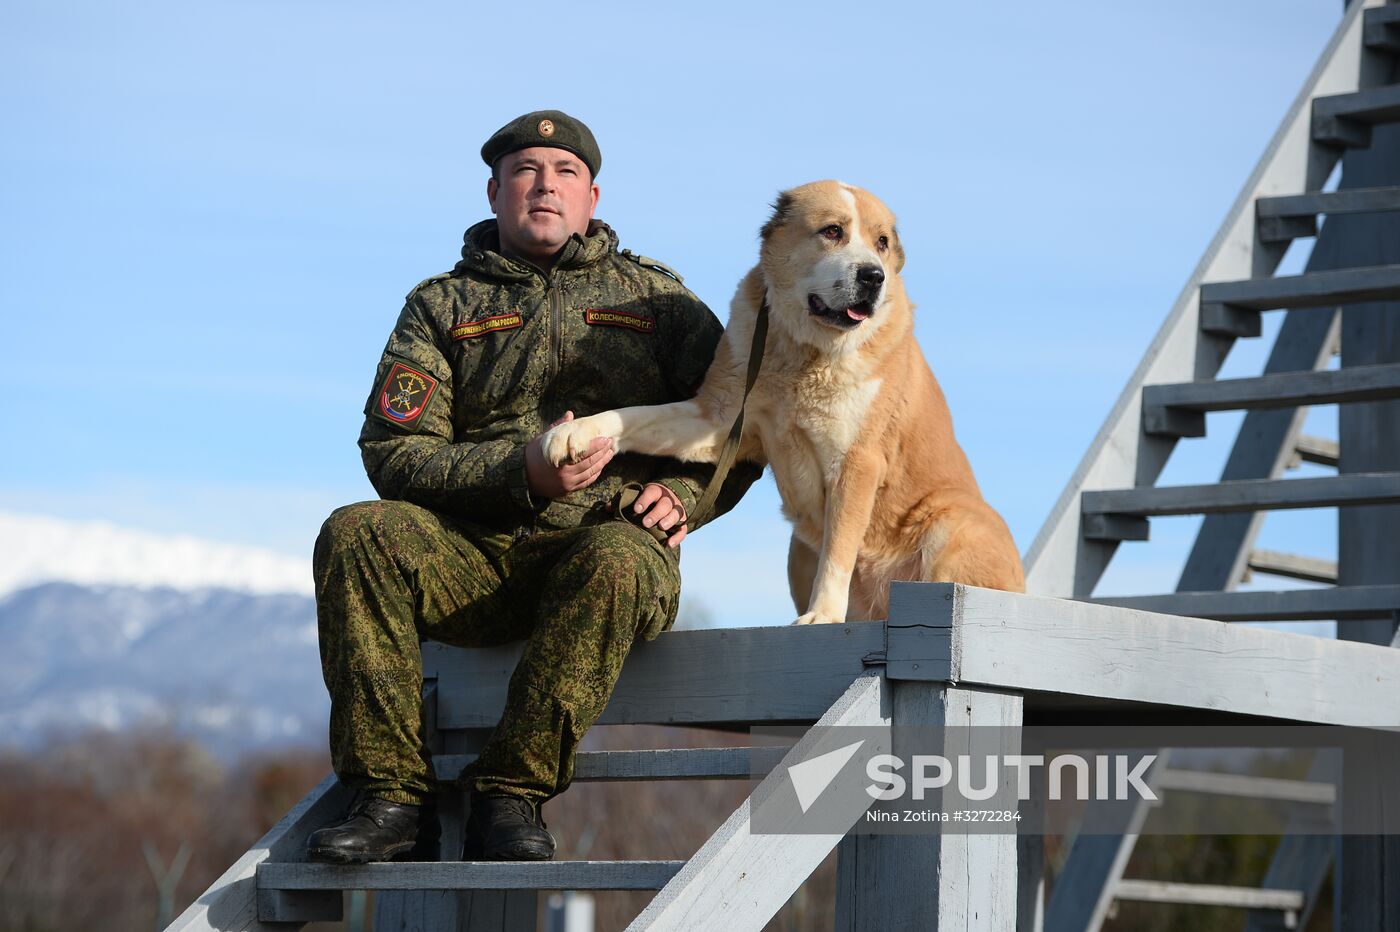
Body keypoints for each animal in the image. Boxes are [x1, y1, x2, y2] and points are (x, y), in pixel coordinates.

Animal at [540, 177, 1024, 621]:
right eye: (833, 231)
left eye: (882, 243)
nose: (873, 276)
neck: (805, 353)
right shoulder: (718, 419)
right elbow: (632, 417)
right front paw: (572, 433)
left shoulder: (857, 463)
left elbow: (839, 551)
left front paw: (823, 615)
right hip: (798, 550)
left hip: (952, 524)